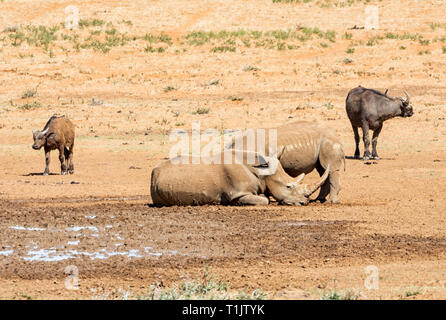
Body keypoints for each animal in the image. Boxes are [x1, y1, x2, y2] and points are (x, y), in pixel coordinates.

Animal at [150, 151, 328, 206]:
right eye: (288, 187)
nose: (304, 202)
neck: (262, 173)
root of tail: (154, 170)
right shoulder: (237, 193)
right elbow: (264, 200)